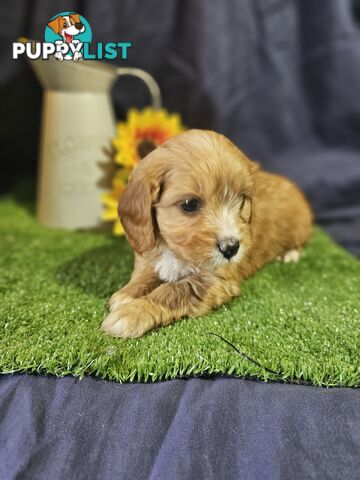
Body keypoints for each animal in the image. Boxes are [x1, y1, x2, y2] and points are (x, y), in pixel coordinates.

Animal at [101, 127, 312, 338]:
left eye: (242, 199)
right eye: (190, 204)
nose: (231, 248)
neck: (176, 252)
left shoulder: (217, 278)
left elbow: (177, 289)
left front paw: (133, 312)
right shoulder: (149, 250)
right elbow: (144, 275)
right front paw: (127, 294)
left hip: (299, 226)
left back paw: (289, 254)